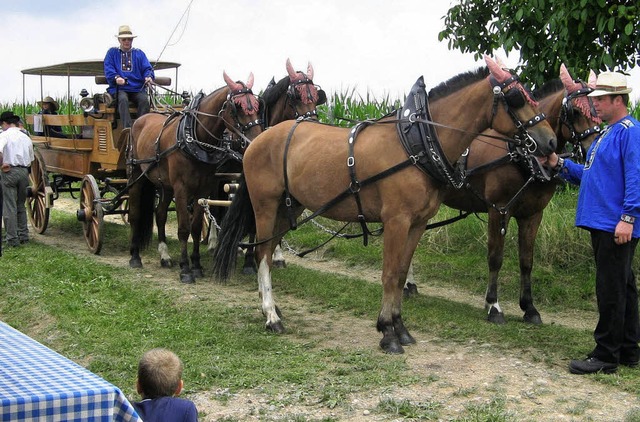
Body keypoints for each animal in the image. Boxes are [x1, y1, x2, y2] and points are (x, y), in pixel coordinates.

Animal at [127, 71, 262, 284]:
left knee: (160, 213)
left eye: (257, 105)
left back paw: (164, 256)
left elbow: (196, 227)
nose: (256, 140)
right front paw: (185, 269)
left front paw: (197, 265)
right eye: (237, 107)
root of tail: (142, 118)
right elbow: (184, 228)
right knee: (134, 214)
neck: (195, 138)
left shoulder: (203, 189)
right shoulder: (182, 188)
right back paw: (134, 256)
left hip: (165, 185)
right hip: (137, 176)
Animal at [212, 55, 556, 352]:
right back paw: (271, 315)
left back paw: (270, 308)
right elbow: (389, 275)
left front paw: (400, 328)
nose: (550, 141)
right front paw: (387, 332)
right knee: (263, 254)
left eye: (531, 94)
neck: (415, 143)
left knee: (268, 250)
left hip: (289, 207)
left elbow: (402, 274)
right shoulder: (396, 221)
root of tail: (258, 140)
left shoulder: (416, 223)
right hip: (266, 206)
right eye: (516, 97)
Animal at [402, 64, 604, 324]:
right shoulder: (498, 209)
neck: (521, 155)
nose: (595, 146)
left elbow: (527, 261)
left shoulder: (532, 214)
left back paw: (409, 284)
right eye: (576, 112)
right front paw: (493, 306)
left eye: (598, 109)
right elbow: (495, 258)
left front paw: (529, 308)